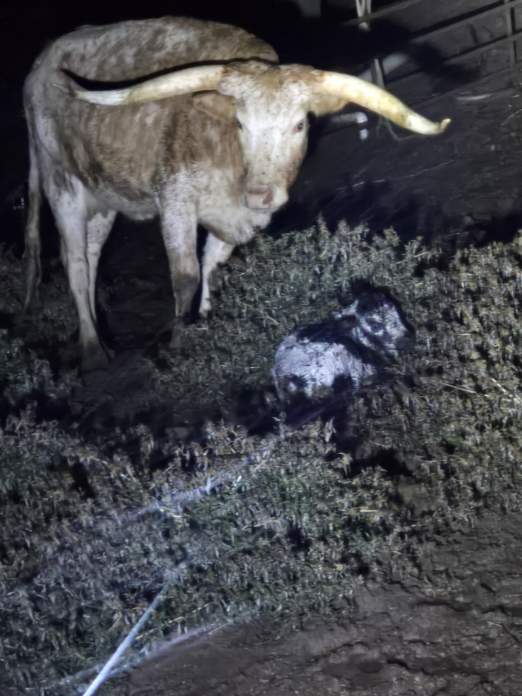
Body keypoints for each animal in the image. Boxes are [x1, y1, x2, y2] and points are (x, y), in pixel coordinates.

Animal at [23, 16, 449, 370]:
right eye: (241, 124)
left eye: (299, 125)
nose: (260, 194)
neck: (230, 162)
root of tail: (40, 65)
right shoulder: (176, 200)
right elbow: (186, 275)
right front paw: (179, 344)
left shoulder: (239, 216)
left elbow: (213, 266)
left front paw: (209, 323)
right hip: (62, 186)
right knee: (77, 265)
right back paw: (93, 352)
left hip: (102, 200)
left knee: (92, 257)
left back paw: (98, 335)